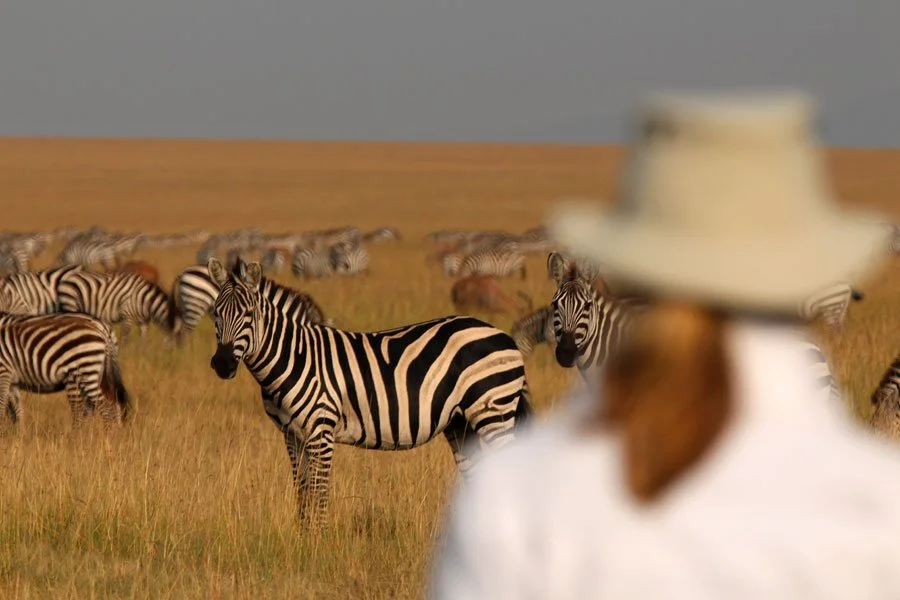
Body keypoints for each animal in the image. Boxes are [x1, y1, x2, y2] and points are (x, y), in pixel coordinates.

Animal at [0, 312, 130, 427]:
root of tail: (102, 328)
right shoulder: (12, 381)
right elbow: (16, 412)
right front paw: (18, 434)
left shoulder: (4, 373)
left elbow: (3, 408)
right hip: (96, 374)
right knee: (108, 405)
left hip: (84, 372)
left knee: (103, 408)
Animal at [206, 257, 532, 528]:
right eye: (215, 314)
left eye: (249, 314)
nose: (222, 364)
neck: (295, 356)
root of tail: (502, 335)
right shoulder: (292, 434)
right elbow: (302, 490)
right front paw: (302, 537)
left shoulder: (321, 430)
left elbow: (319, 490)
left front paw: (318, 542)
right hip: (460, 423)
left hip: (493, 411)